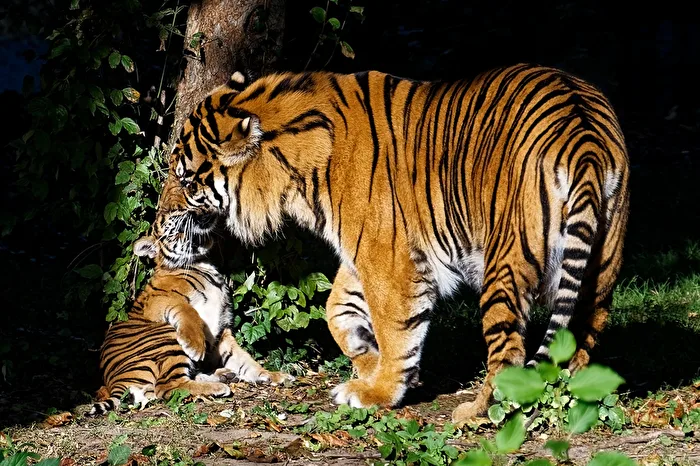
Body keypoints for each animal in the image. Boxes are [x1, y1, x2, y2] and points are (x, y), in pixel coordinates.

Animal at [89, 234, 293, 415]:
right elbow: (188, 311)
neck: (203, 264)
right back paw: (218, 387)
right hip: (166, 336)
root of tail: (113, 382)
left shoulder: (222, 333)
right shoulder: (158, 302)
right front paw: (196, 345)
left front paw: (274, 375)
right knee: (167, 386)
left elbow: (245, 361)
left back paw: (224, 376)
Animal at [151, 63, 630, 426]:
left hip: (505, 264)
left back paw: (476, 413)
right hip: (601, 266)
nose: (161, 212)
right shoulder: (365, 252)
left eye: (184, 178)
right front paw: (367, 362)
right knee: (583, 335)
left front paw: (378, 391)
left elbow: (396, 327)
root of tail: (583, 134)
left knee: (508, 352)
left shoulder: (388, 256)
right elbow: (337, 309)